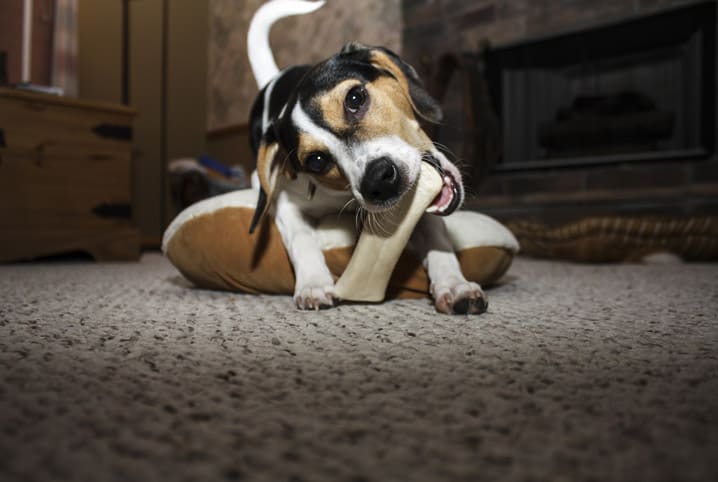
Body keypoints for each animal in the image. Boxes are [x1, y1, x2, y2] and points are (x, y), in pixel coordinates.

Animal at [248, 0, 490, 314]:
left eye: (354, 98)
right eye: (316, 161)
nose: (379, 182)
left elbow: (437, 237)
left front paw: (454, 284)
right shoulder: (286, 202)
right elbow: (302, 238)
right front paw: (314, 284)